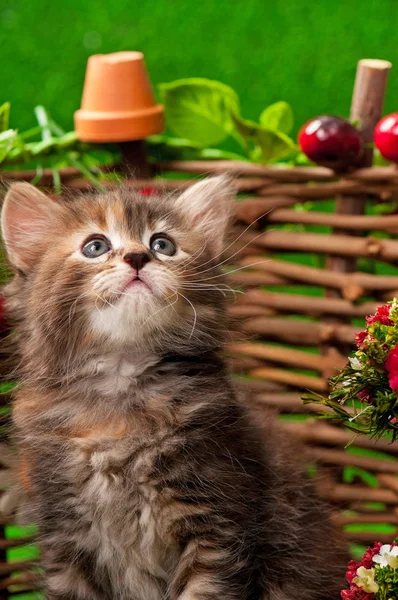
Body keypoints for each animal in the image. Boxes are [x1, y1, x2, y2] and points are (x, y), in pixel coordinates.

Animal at [1, 178, 346, 600]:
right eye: (95, 246)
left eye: (162, 244)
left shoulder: (216, 521)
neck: (120, 393)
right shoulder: (64, 536)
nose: (137, 257)